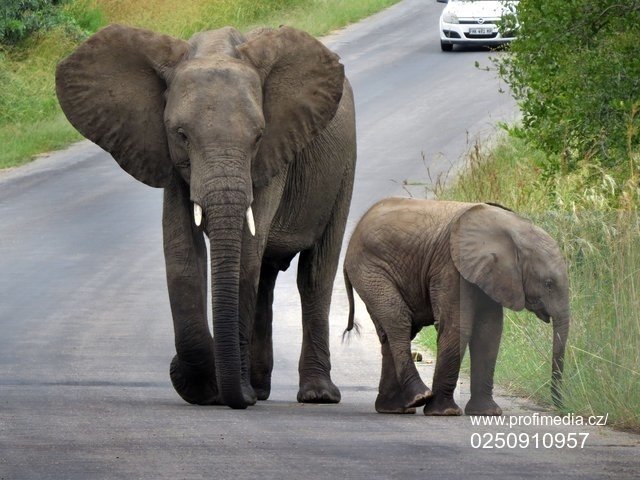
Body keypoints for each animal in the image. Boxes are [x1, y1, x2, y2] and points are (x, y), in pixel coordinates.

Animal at [54, 24, 356, 408]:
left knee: (315, 274)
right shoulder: (167, 156)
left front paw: (222, 388)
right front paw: (203, 387)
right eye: (181, 135)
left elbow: (245, 251)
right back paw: (259, 389)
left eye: (258, 137)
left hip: (344, 168)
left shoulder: (274, 157)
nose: (236, 397)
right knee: (265, 279)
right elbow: (182, 252)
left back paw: (315, 395)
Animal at [344, 199, 568, 416]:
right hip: (370, 270)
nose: (560, 406)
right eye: (548, 284)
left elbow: (489, 332)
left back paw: (395, 408)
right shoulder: (450, 267)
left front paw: (488, 412)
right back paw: (418, 397)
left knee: (390, 332)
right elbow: (458, 327)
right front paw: (445, 412)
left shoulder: (491, 276)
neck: (512, 227)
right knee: (398, 321)